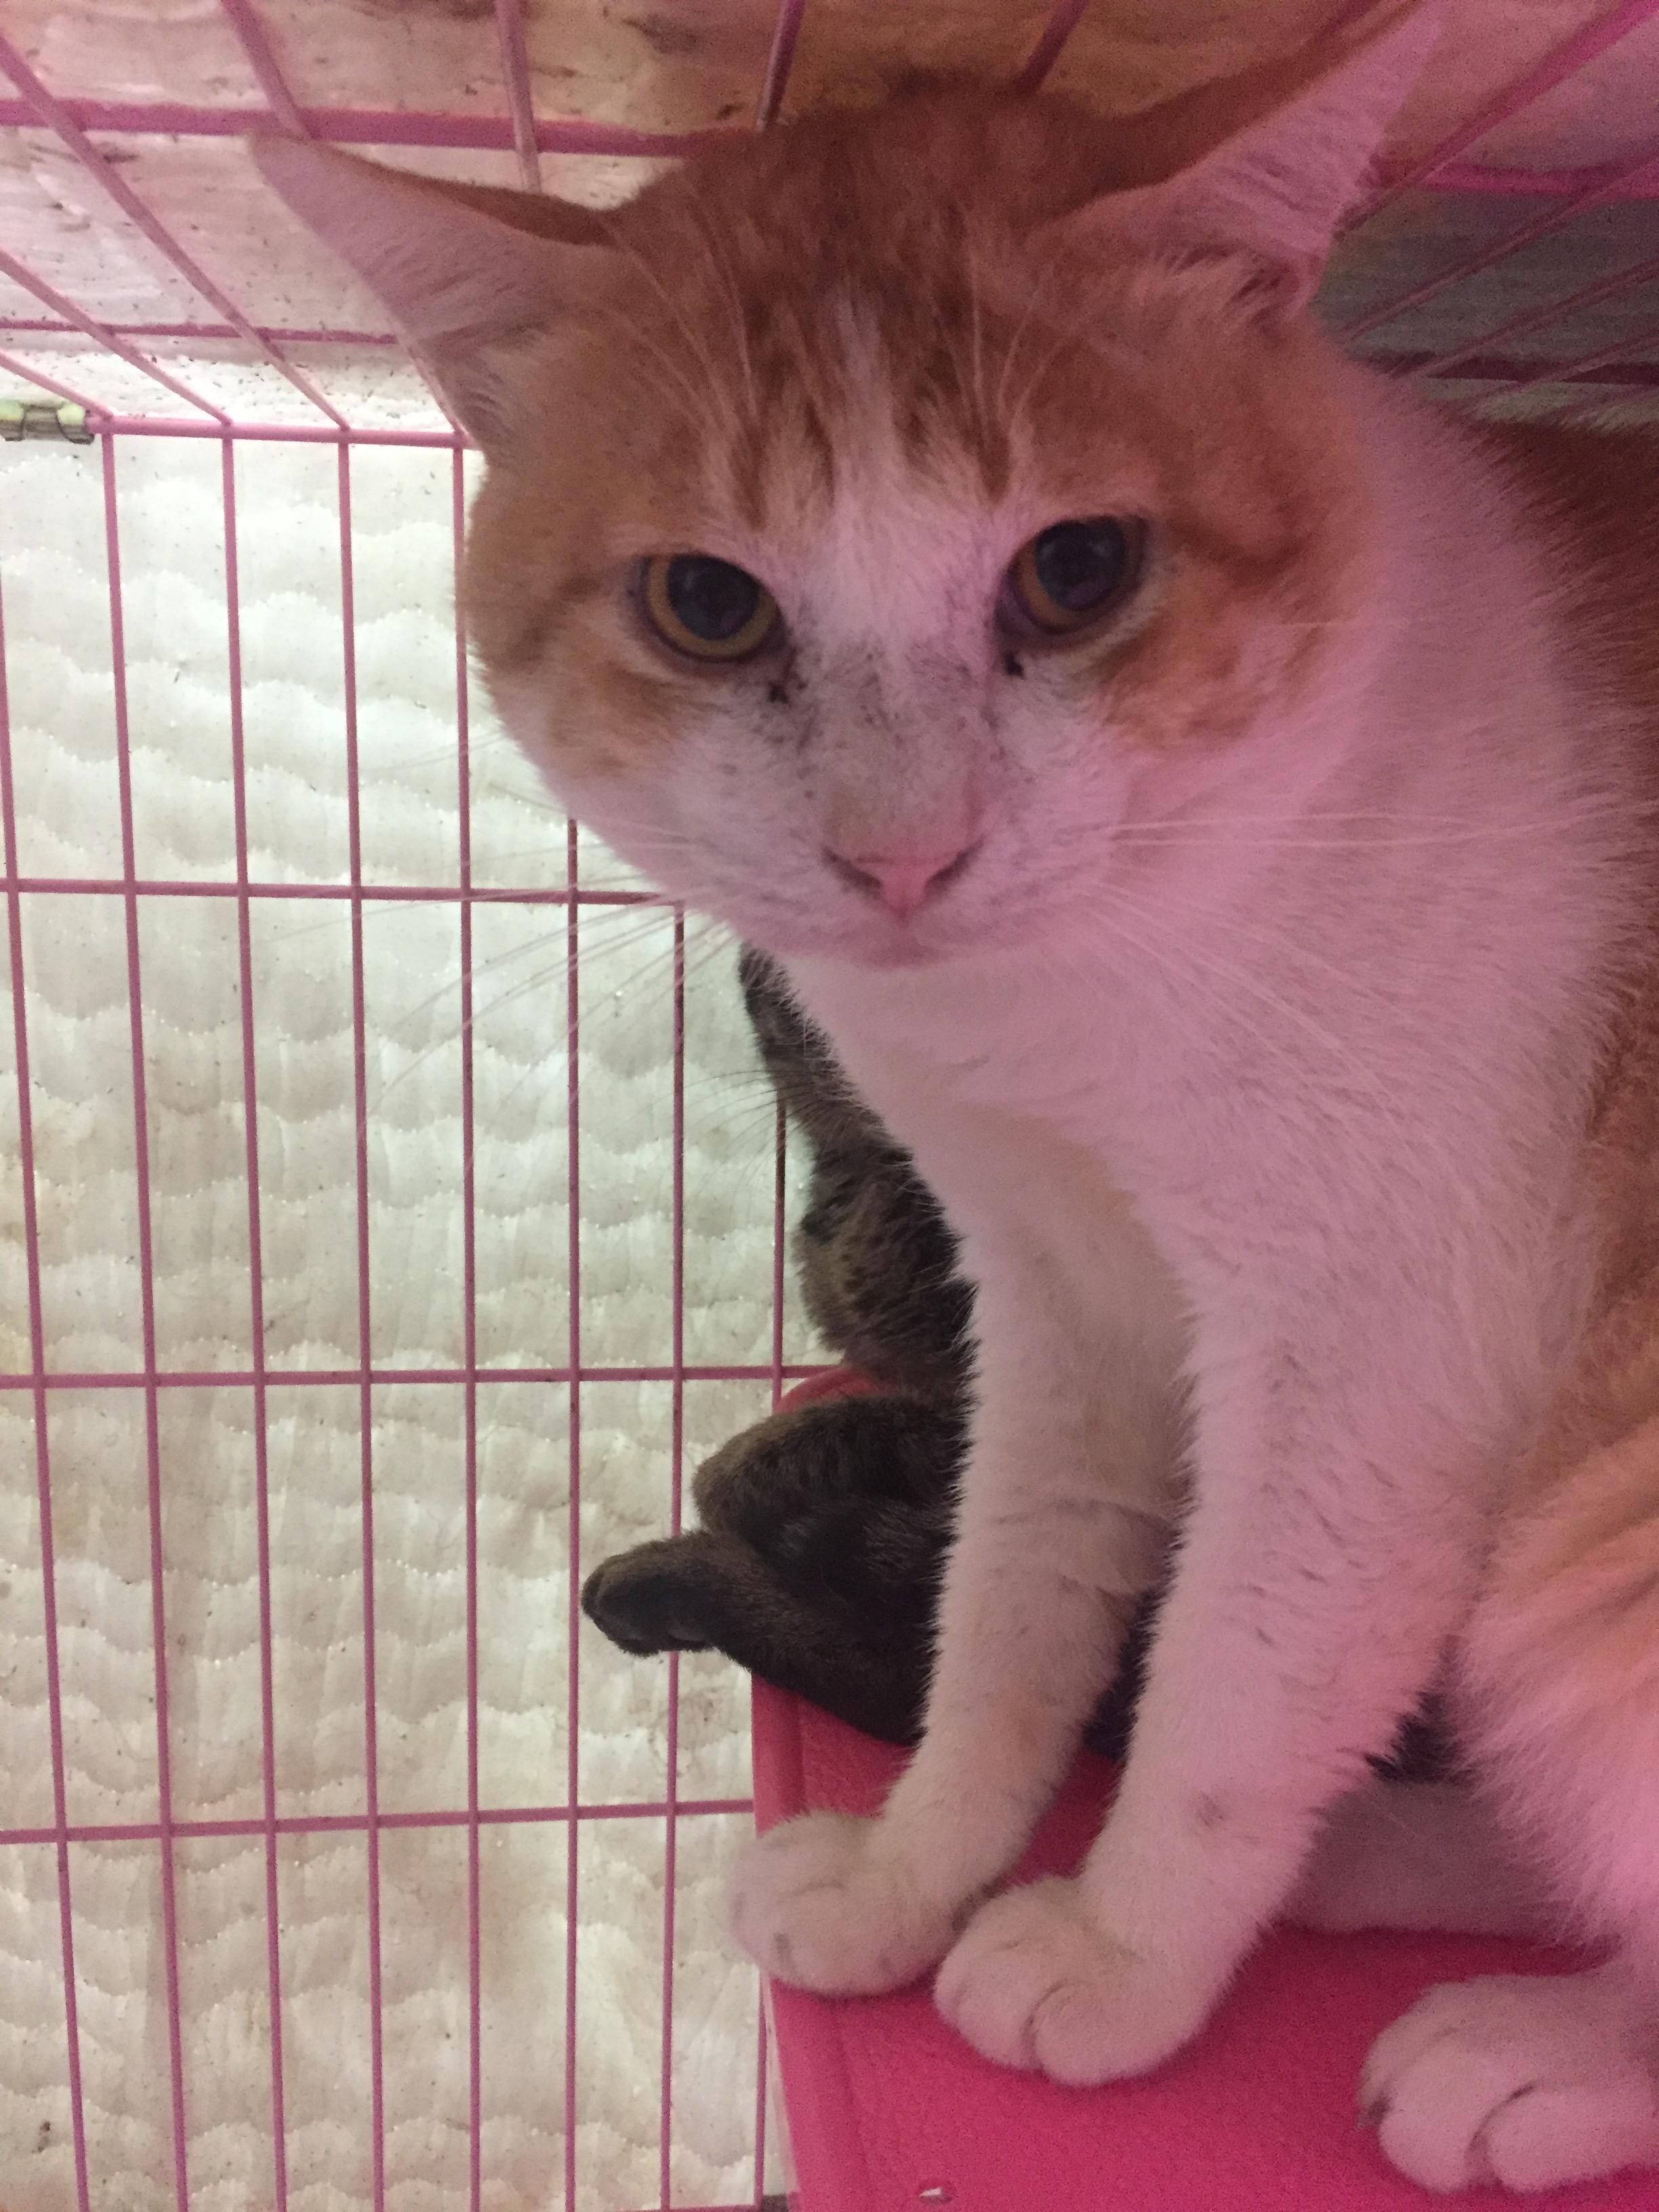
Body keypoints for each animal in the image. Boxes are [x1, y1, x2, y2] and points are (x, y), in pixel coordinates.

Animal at [258, 2, 1659, 2188]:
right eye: (708, 604)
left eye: (1075, 571)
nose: (901, 854)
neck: (1071, 1008)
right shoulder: (1050, 1297)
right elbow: (1007, 1598)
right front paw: (920, 1868)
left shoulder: (1371, 1364)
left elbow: (1233, 1678)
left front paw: (1120, 1948)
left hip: (1599, 1546)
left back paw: (1538, 2045)